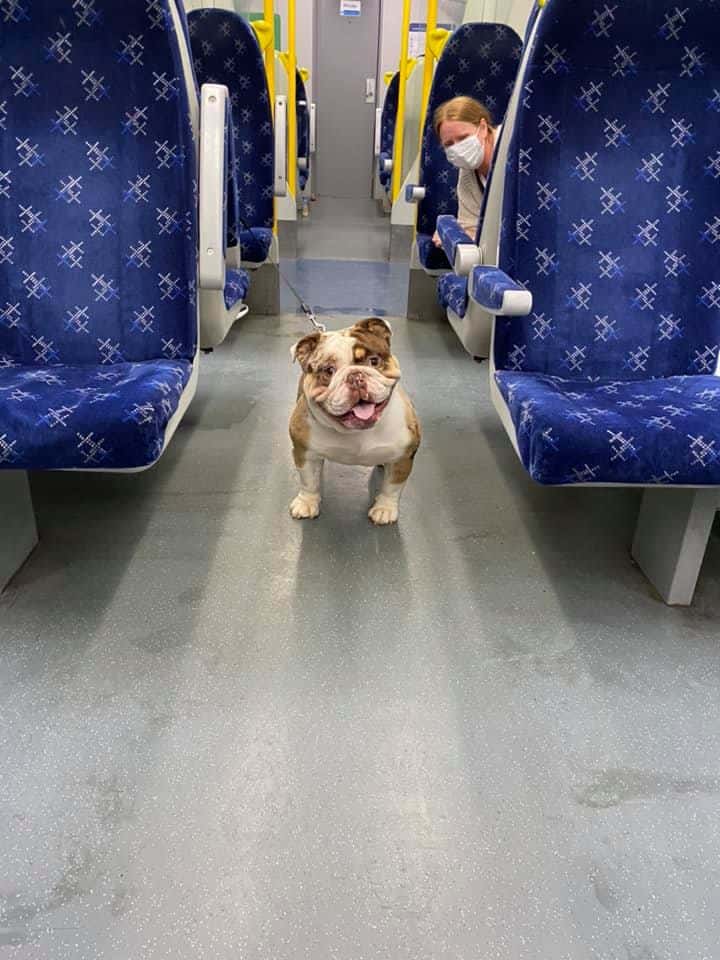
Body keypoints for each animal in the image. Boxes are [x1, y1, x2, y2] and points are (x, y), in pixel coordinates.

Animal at [288, 316, 420, 524]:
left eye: (374, 360)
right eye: (329, 370)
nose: (355, 376)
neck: (357, 432)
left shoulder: (403, 457)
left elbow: (392, 487)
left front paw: (385, 508)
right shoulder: (304, 452)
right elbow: (308, 481)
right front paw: (307, 502)